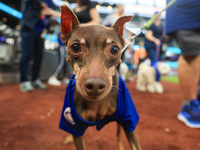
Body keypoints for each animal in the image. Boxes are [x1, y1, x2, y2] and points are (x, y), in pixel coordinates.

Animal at [58, 4, 141, 149]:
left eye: (115, 49)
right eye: (75, 47)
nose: (95, 85)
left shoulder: (129, 121)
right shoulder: (75, 126)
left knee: (118, 135)